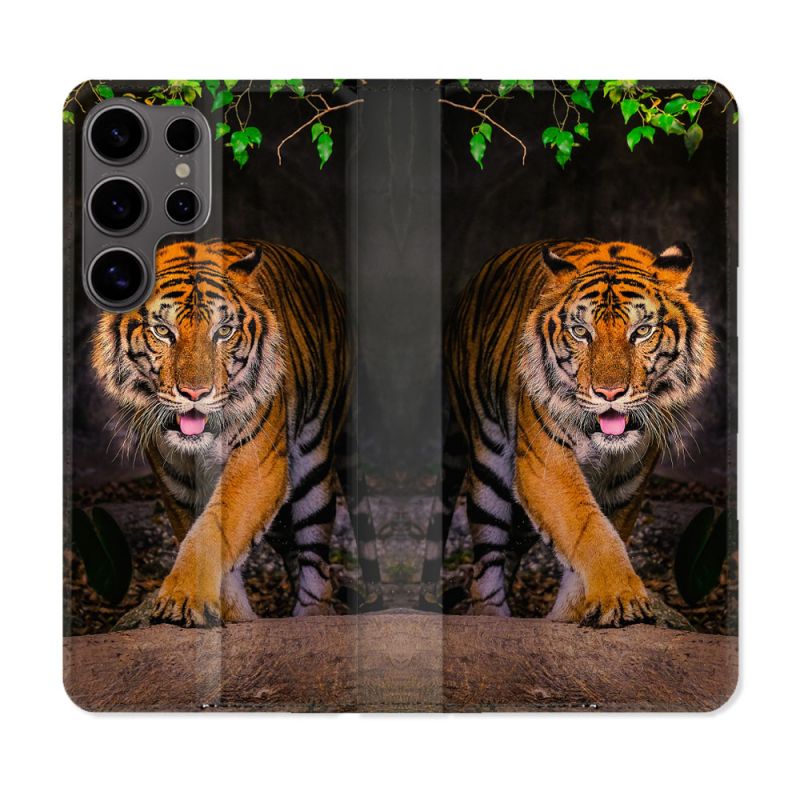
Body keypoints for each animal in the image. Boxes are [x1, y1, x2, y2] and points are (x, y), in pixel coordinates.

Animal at [92, 238, 354, 627]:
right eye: (163, 332)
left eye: (223, 332)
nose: (196, 393)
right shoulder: (176, 484)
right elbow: (205, 536)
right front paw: (231, 615)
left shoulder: (257, 466)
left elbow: (213, 529)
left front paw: (182, 598)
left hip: (314, 467)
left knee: (316, 564)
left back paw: (312, 616)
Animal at [435, 239, 714, 627]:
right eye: (581, 332)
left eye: (641, 331)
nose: (610, 393)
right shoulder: (545, 465)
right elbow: (589, 529)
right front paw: (621, 597)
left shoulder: (628, 482)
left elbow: (599, 536)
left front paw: (572, 615)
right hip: (488, 468)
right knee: (486, 561)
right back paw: (491, 615)